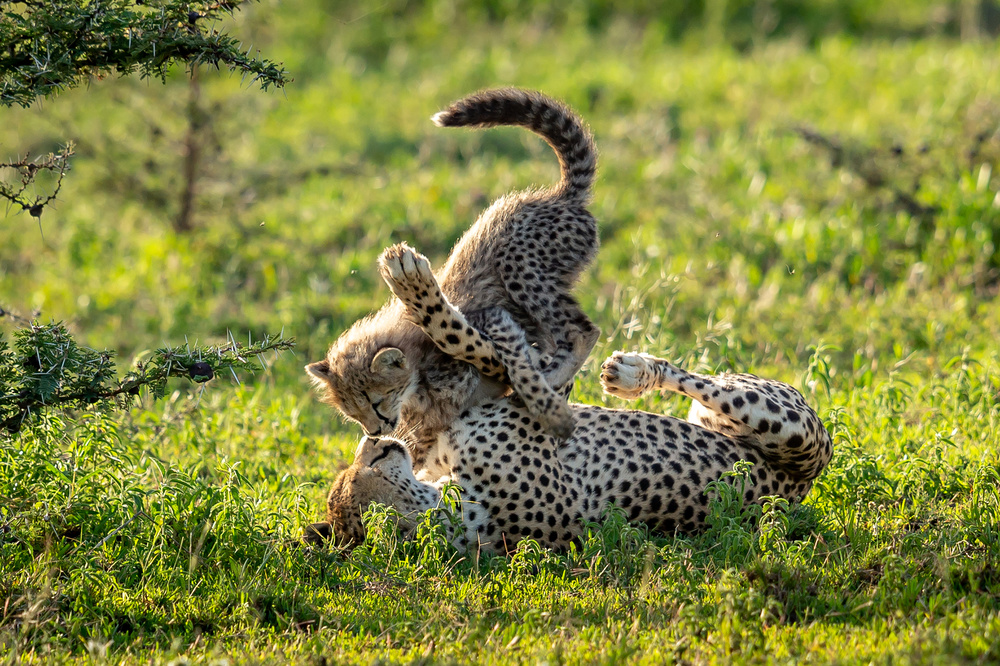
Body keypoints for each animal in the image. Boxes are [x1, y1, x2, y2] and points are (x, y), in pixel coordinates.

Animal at [306, 249, 836, 548]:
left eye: (354, 471)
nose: (373, 444)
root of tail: (796, 491)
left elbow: (479, 348)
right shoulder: (536, 407)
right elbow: (492, 351)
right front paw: (417, 289)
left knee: (695, 385)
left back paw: (629, 372)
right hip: (787, 424)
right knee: (703, 384)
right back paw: (630, 372)